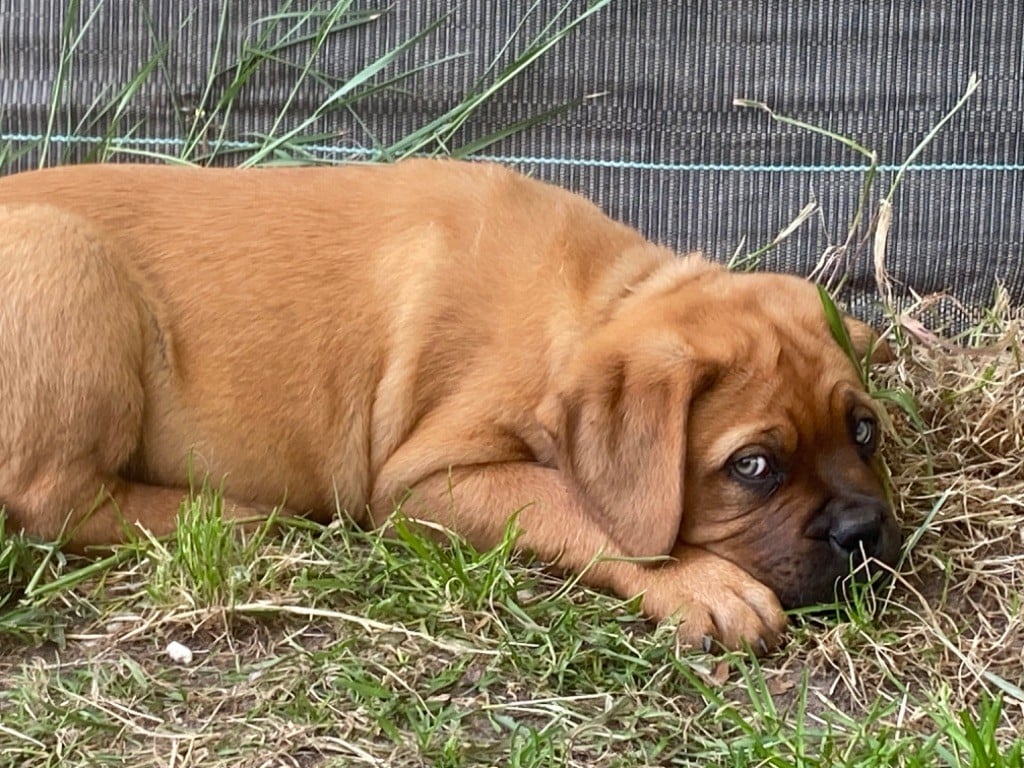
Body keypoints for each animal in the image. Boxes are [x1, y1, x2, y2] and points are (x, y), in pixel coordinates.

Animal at [0, 159, 897, 651]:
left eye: (865, 431)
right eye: (753, 467)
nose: (864, 533)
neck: (595, 299)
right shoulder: (423, 481)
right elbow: (578, 502)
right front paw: (705, 585)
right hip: (68, 260)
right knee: (51, 499)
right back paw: (234, 518)